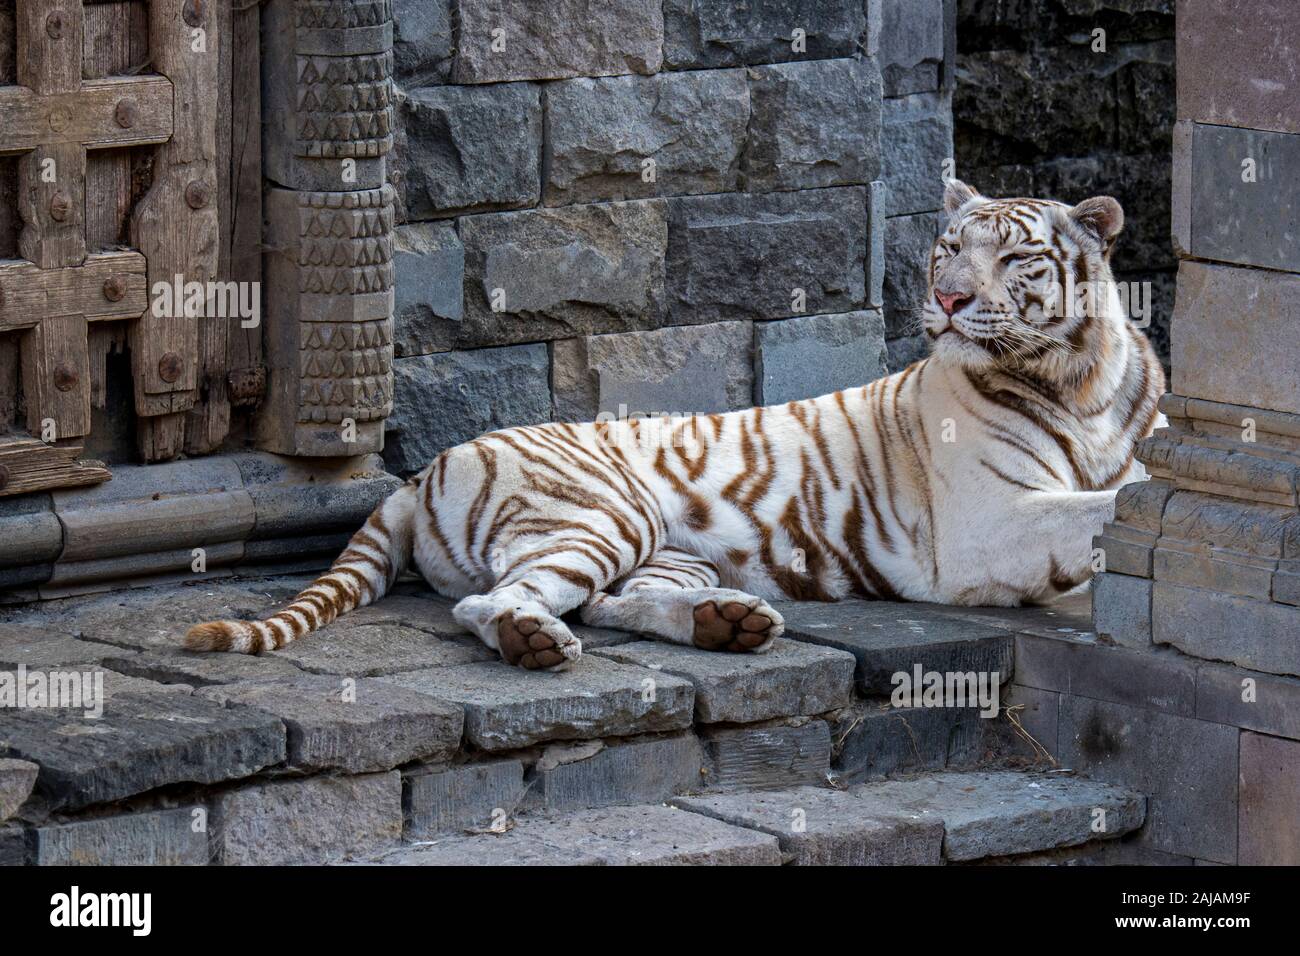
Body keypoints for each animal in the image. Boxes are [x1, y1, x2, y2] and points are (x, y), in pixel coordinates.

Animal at [187, 179, 1165, 671]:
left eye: (1016, 257)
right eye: (950, 248)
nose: (950, 299)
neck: (1077, 380)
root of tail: (422, 471)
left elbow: (1117, 497)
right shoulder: (985, 526)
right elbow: (1095, 510)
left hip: (668, 546)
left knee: (610, 600)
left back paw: (726, 625)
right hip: (603, 512)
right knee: (496, 601)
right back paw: (537, 643)